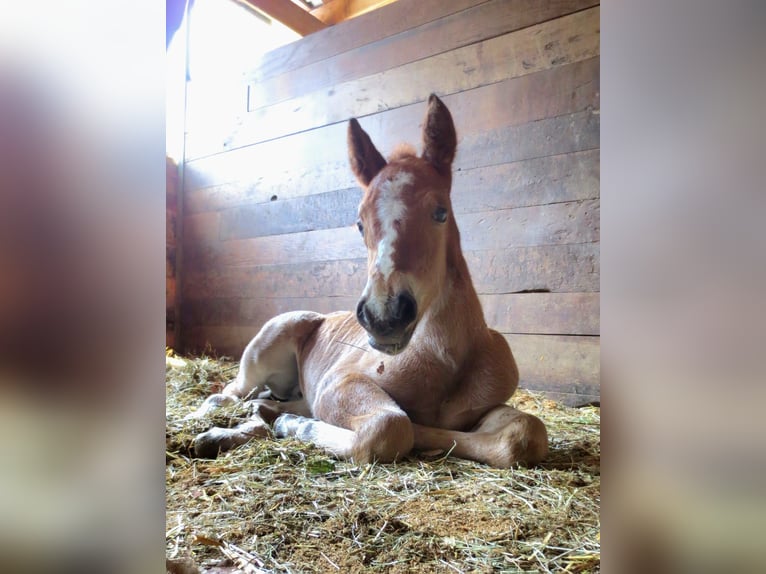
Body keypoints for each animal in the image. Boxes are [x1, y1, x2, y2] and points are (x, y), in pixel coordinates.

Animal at [190, 94, 548, 468]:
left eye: (440, 212)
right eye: (360, 222)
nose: (384, 316)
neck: (444, 360)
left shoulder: (490, 404)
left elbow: (525, 434)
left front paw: (281, 420)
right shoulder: (339, 382)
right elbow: (392, 425)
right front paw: (296, 425)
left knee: (266, 402)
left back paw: (242, 427)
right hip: (266, 346)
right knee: (228, 394)